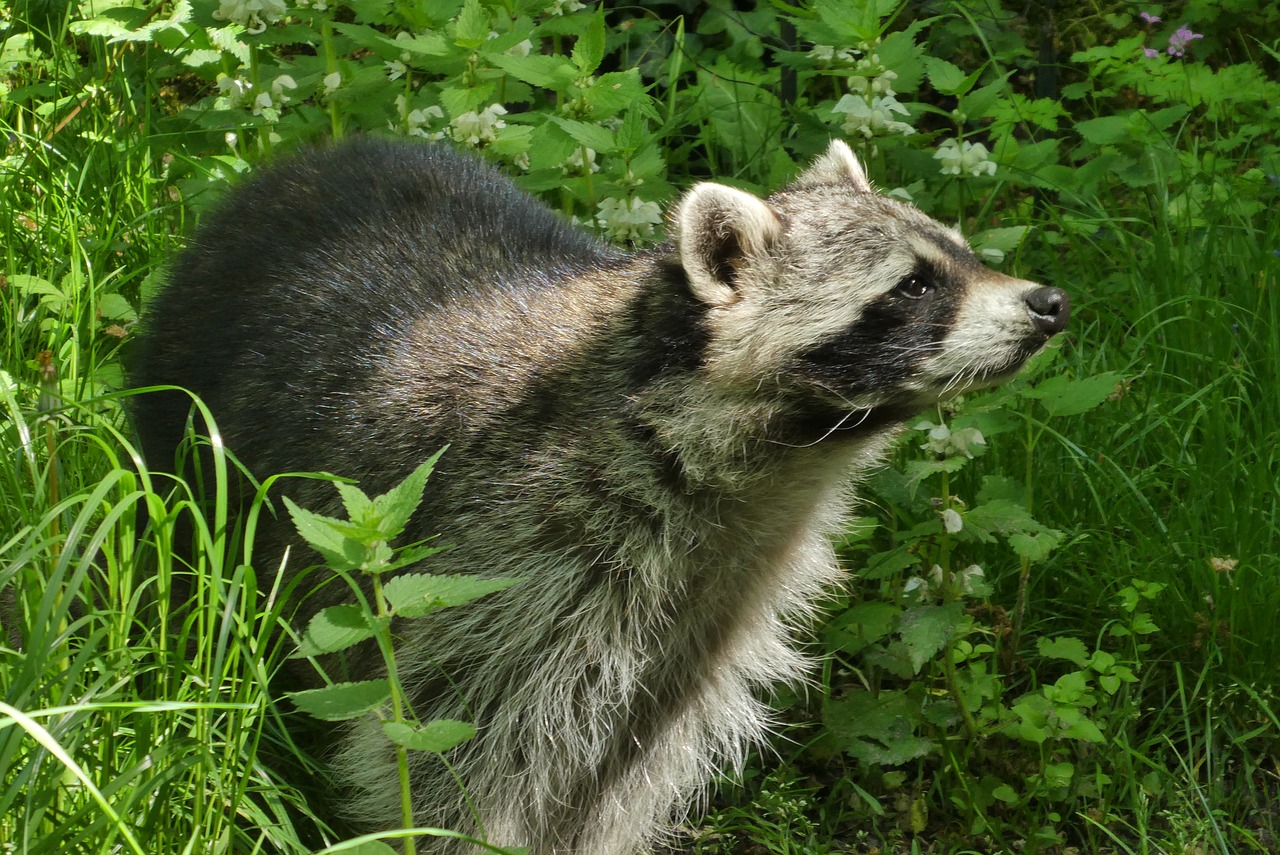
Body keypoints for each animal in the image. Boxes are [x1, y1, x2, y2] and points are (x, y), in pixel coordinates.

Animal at [129, 136, 1070, 849]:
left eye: (959, 251)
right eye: (913, 284)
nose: (1051, 300)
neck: (765, 470)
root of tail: (288, 170)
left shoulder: (702, 618)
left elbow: (628, 760)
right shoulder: (507, 565)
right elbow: (460, 756)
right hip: (185, 436)